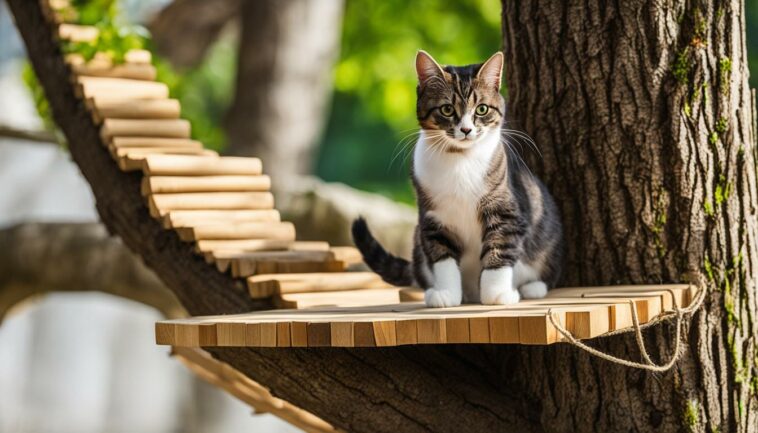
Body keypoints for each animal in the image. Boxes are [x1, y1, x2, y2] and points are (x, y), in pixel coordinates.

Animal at [352, 50, 564, 306]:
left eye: (482, 109)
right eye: (446, 109)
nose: (466, 130)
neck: (459, 159)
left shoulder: (506, 210)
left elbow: (499, 249)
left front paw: (496, 294)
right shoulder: (433, 218)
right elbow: (442, 258)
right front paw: (446, 294)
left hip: (546, 231)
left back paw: (532, 287)